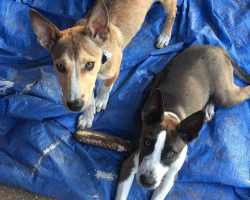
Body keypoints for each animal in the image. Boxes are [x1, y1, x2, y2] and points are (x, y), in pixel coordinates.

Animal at [29, 0, 178, 130]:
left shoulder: (114, 72)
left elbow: (106, 87)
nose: (75, 106)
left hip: (168, 4)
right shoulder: (87, 87)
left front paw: (100, 100)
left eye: (89, 64)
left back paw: (165, 36)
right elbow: (89, 99)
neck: (102, 60)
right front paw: (87, 116)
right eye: (60, 66)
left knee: (173, 13)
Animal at [114, 45, 250, 200]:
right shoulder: (129, 165)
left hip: (225, 96)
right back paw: (208, 109)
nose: (147, 181)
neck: (172, 115)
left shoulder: (169, 178)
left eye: (172, 153)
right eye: (147, 142)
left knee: (242, 92)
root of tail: (215, 47)